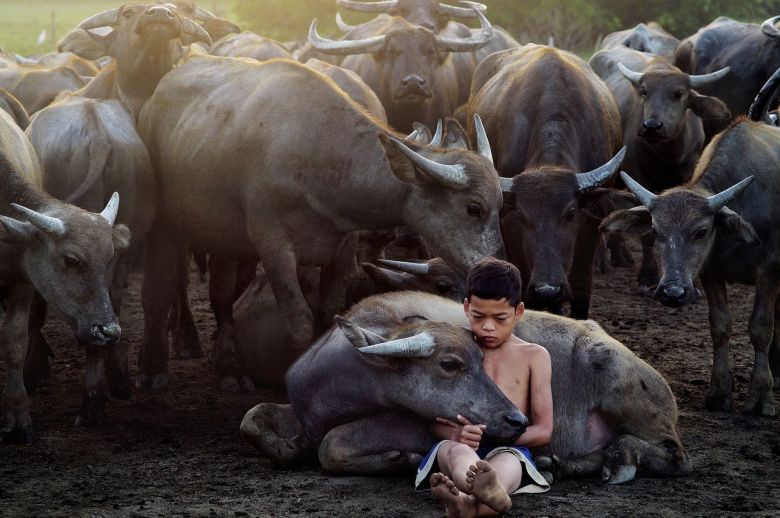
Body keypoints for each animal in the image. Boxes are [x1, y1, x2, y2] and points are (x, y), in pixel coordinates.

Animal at [136, 58, 502, 390]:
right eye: (473, 208)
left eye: (501, 203)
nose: (494, 266)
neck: (318, 158)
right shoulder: (274, 247)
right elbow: (299, 322)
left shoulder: (343, 247)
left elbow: (331, 314)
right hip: (168, 222)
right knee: (161, 286)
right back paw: (153, 367)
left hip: (225, 237)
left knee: (222, 296)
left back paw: (229, 369)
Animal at [242, 290, 688, 486]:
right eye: (450, 364)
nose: (516, 419)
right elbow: (252, 418)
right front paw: (287, 447)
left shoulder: (412, 426)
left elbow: (330, 445)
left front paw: (399, 458)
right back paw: (560, 463)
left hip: (625, 390)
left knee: (676, 456)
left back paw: (622, 458)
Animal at [592, 46, 732, 290]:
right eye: (644, 92)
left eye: (678, 93)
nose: (651, 126)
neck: (667, 156)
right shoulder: (638, 177)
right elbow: (648, 232)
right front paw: (648, 277)